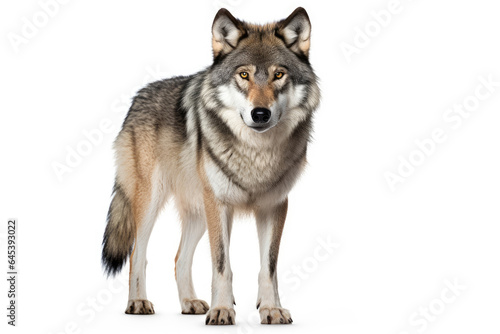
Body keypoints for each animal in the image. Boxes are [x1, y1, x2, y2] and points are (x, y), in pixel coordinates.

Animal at [101, 7, 320, 326]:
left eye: (279, 75)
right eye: (244, 75)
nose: (260, 114)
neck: (257, 153)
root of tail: (138, 97)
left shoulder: (275, 205)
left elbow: (268, 267)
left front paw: (271, 309)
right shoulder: (220, 205)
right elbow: (222, 264)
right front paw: (222, 310)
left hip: (199, 212)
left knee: (179, 258)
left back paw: (189, 303)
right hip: (152, 201)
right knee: (137, 253)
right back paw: (138, 302)